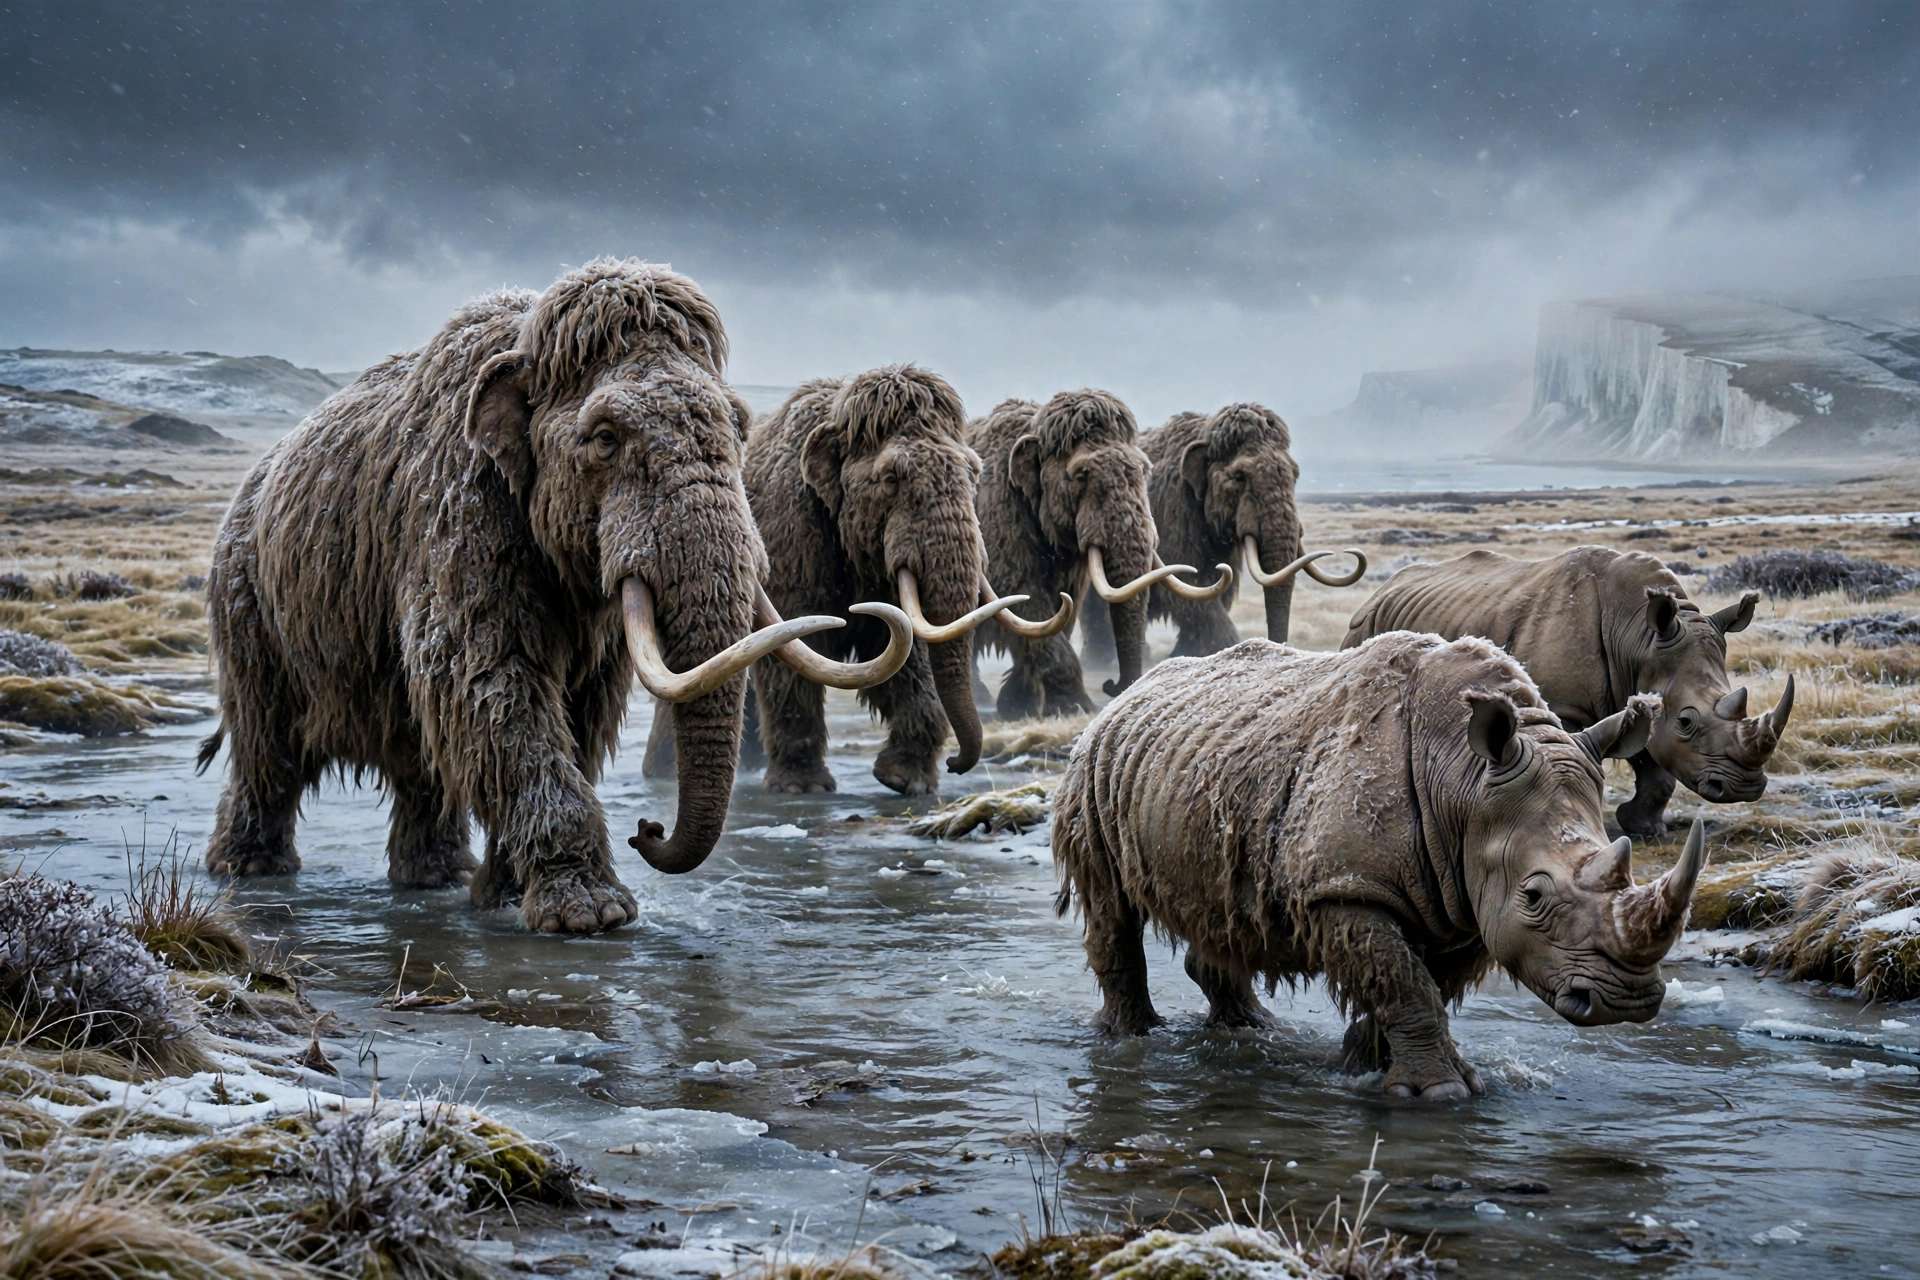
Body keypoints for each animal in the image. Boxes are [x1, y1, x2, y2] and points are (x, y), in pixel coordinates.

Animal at [1053, 633, 1706, 1100]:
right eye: (1535, 896)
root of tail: (1125, 695)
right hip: (1094, 770)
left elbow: (1421, 983)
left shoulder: (1464, 902)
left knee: (1223, 911)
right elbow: (1401, 979)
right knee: (1111, 904)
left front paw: (1362, 1063)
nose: (1627, 1002)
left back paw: (1250, 1029)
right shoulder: (1345, 888)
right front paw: (1439, 1092)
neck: (1464, 781)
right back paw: (1129, 1039)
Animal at [1342, 546, 1792, 836]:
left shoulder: (1643, 688)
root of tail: (1381, 589)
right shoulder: (1565, 705)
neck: (1638, 637)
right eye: (1686, 721)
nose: (1744, 788)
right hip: (1364, 625)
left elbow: (1656, 768)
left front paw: (1646, 829)